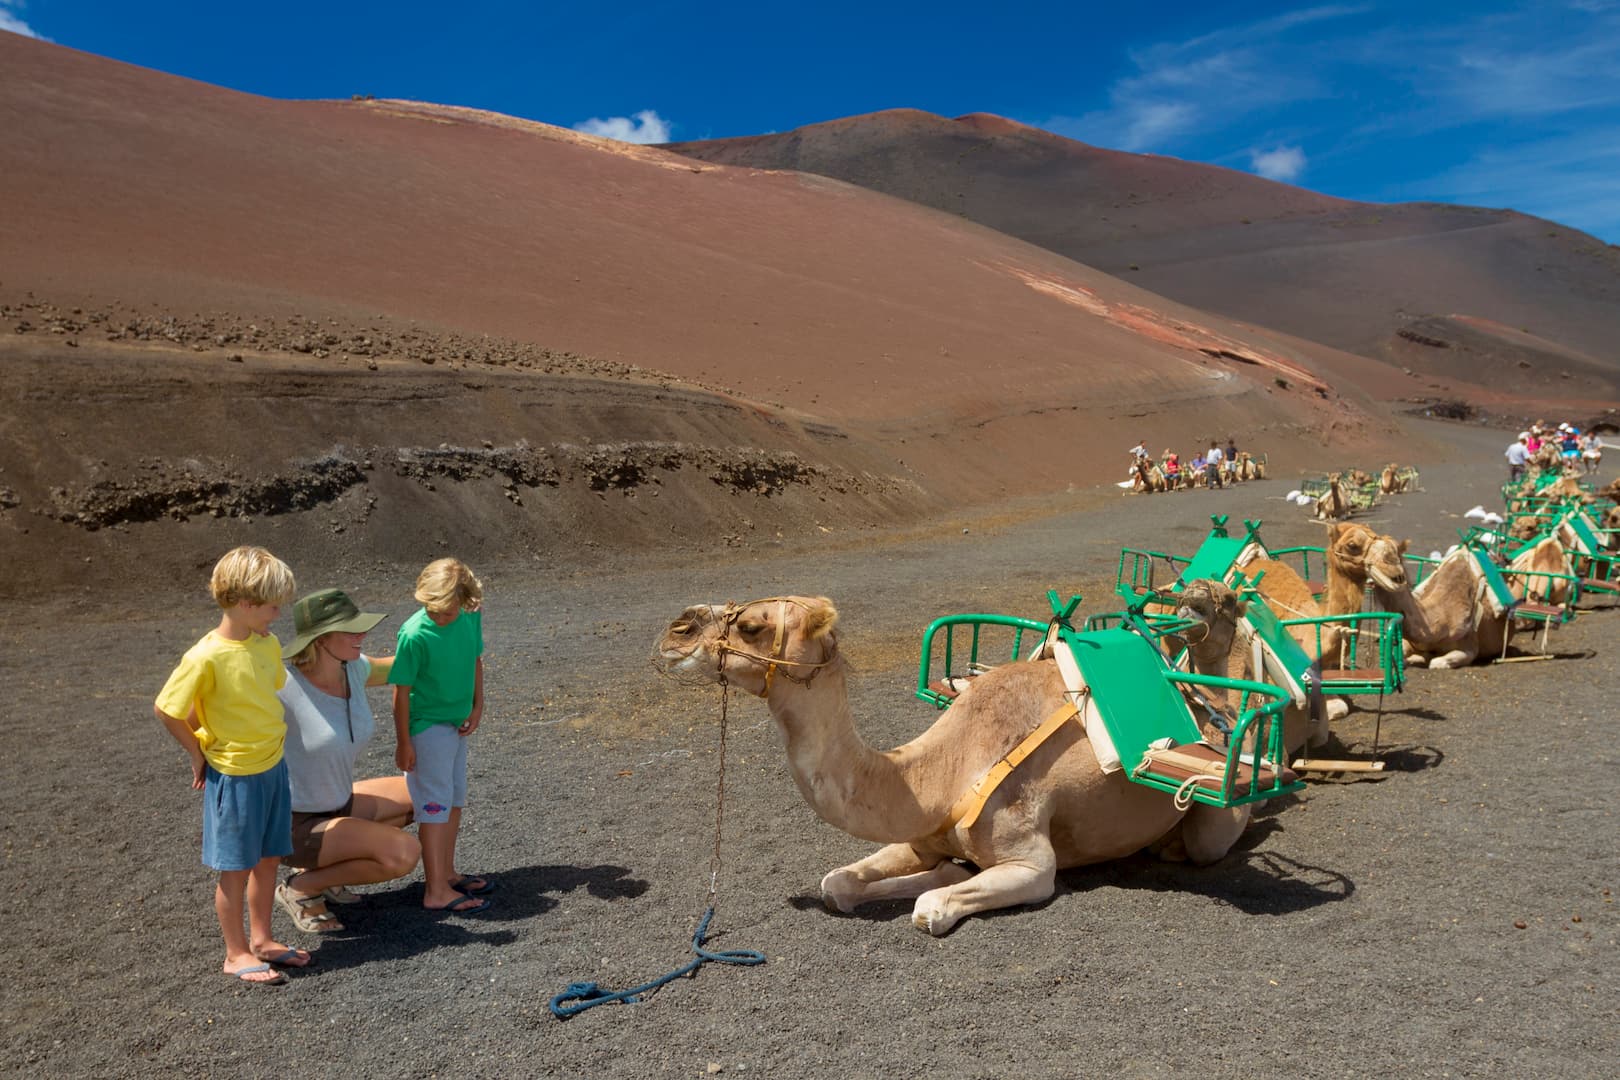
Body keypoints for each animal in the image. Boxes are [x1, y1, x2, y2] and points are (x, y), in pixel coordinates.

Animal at [651, 599, 1257, 939]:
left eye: (752, 626)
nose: (673, 631)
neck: (943, 773)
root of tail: (1215, 709)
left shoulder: (1033, 864)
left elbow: (928, 907)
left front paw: (940, 888)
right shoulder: (919, 832)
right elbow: (837, 883)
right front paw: (939, 872)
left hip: (1219, 809)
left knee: (1209, 838)